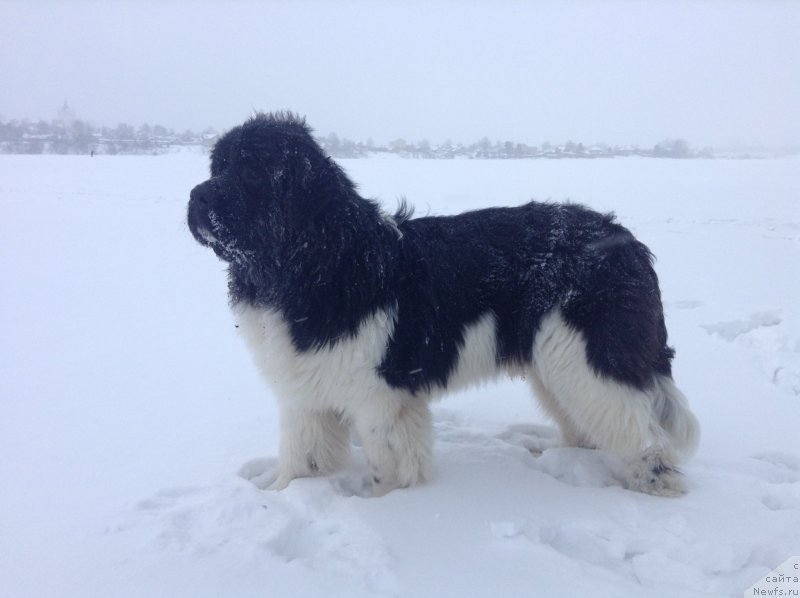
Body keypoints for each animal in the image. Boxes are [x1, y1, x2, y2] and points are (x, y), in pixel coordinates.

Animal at [189, 111, 700, 496]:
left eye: (251, 171)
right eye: (217, 166)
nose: (194, 195)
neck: (312, 264)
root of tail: (628, 242)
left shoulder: (380, 394)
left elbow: (388, 460)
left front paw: (382, 502)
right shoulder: (306, 392)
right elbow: (303, 454)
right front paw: (284, 493)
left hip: (587, 357)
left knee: (643, 434)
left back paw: (651, 487)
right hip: (556, 365)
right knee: (586, 426)